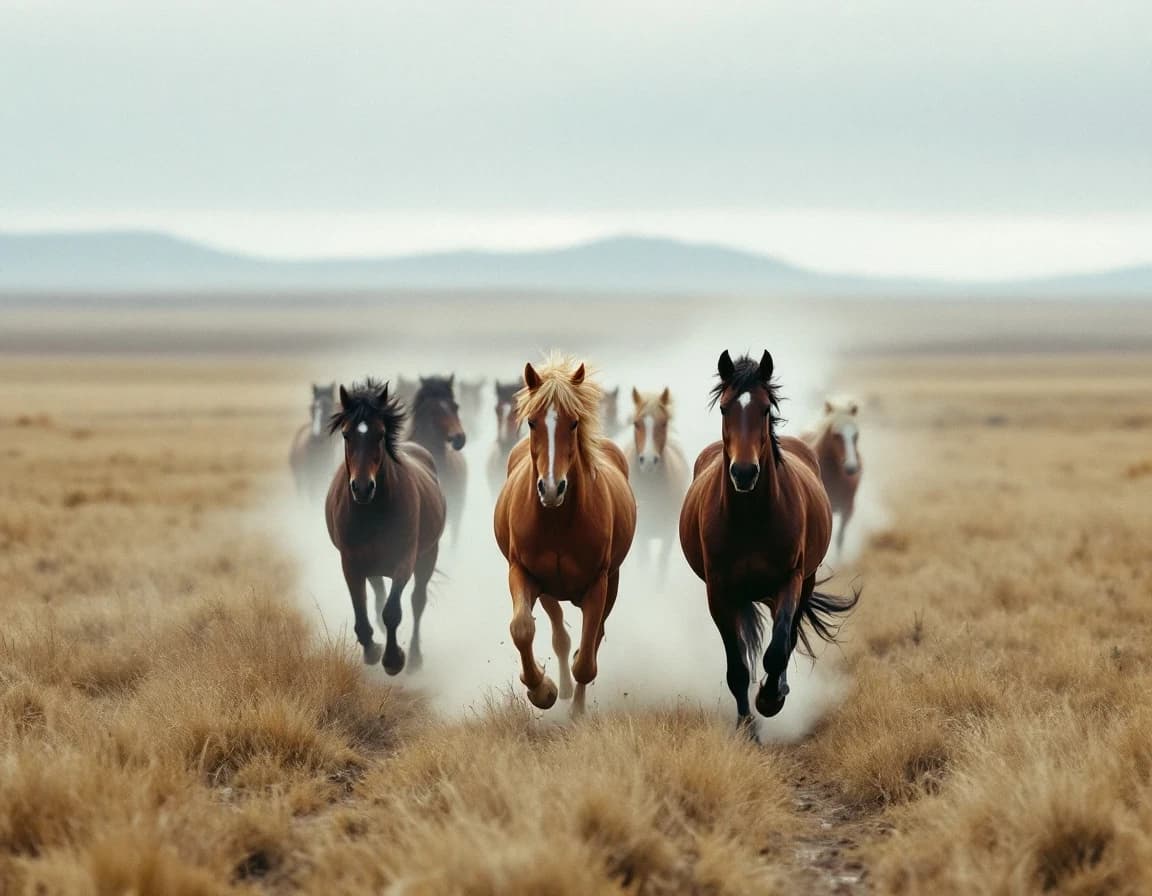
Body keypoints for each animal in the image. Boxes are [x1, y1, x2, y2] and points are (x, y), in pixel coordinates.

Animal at [325, 379, 446, 674]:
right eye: (346, 435)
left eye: (380, 434)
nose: (362, 488)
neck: (372, 512)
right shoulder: (351, 562)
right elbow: (361, 608)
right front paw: (371, 649)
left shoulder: (404, 560)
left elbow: (393, 611)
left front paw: (393, 659)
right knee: (378, 591)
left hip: (428, 555)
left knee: (416, 602)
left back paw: (415, 657)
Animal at [493, 355, 636, 715]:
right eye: (532, 422)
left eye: (573, 423)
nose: (551, 488)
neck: (557, 523)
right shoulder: (523, 572)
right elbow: (522, 629)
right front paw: (541, 690)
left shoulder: (599, 582)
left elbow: (586, 658)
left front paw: (577, 713)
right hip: (548, 590)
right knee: (559, 634)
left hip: (610, 581)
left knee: (590, 638)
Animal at [625, 387, 690, 576]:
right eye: (636, 423)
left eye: (663, 423)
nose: (648, 461)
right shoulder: (641, 534)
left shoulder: (668, 535)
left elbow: (661, 566)